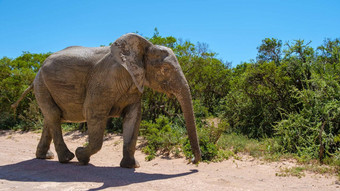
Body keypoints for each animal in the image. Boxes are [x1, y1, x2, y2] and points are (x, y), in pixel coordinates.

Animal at [11, 33, 201, 168]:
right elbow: (94, 113)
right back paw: (67, 158)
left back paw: (45, 157)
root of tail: (36, 73)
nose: (192, 161)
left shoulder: (133, 84)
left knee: (51, 117)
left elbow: (133, 117)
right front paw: (81, 155)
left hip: (43, 86)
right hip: (42, 84)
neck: (143, 47)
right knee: (53, 115)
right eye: (166, 69)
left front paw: (131, 166)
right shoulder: (103, 82)